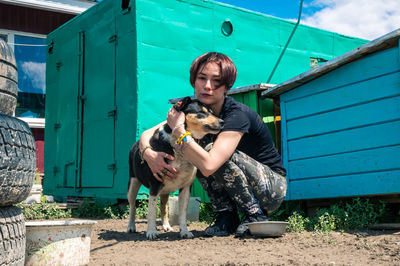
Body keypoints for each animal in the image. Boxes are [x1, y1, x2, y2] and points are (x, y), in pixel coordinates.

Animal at [126, 96, 223, 240]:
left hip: (166, 190)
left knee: (163, 206)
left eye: (211, 112)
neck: (178, 145)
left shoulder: (186, 187)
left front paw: (184, 231)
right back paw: (131, 227)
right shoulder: (155, 184)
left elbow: (182, 213)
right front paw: (151, 232)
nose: (222, 122)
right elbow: (151, 211)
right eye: (201, 112)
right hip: (133, 184)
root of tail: (136, 143)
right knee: (132, 206)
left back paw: (166, 226)